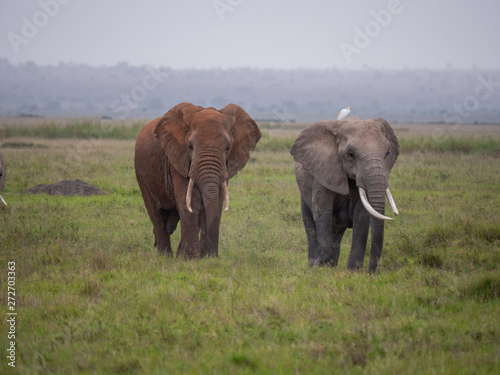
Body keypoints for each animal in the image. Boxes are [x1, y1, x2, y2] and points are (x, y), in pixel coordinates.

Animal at [136, 102, 262, 258]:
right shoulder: (178, 159)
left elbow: (216, 201)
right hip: (141, 174)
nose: (213, 255)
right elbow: (189, 202)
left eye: (228, 147)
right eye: (190, 146)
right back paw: (165, 257)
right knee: (157, 216)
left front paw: (205, 258)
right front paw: (191, 258)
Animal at [290, 117, 398, 274]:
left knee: (336, 232)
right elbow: (322, 212)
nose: (371, 272)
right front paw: (321, 267)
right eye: (351, 154)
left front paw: (353, 271)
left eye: (388, 153)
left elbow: (362, 215)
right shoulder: (323, 172)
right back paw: (314, 264)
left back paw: (333, 265)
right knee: (310, 223)